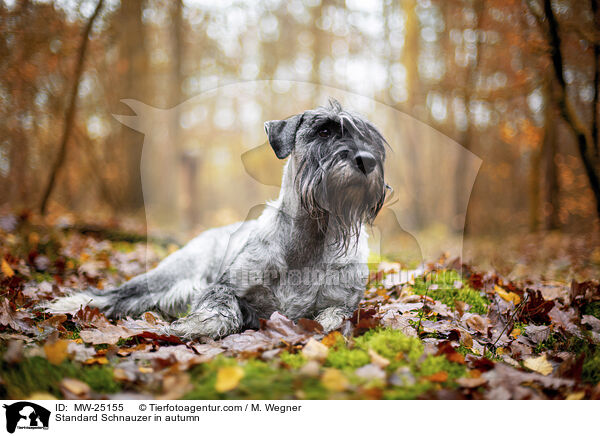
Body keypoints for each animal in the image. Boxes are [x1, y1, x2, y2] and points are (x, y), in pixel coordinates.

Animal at [50, 100, 390, 338]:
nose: (366, 161)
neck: (310, 237)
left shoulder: (342, 302)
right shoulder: (227, 287)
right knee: (117, 293)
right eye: (324, 130)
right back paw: (68, 304)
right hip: (168, 274)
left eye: (370, 139)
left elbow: (334, 318)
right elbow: (222, 306)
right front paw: (197, 327)